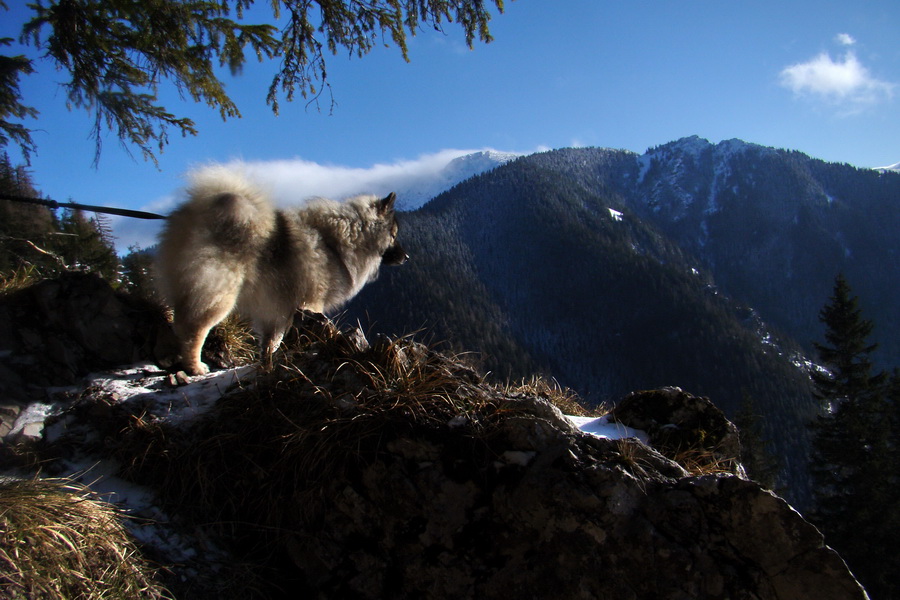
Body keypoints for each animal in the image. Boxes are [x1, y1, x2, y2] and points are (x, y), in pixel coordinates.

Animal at [155, 165, 408, 376]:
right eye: (393, 235)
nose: (406, 257)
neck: (333, 244)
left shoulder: (275, 313)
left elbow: (270, 345)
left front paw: (266, 367)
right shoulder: (310, 304)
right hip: (218, 295)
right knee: (193, 331)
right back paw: (195, 367)